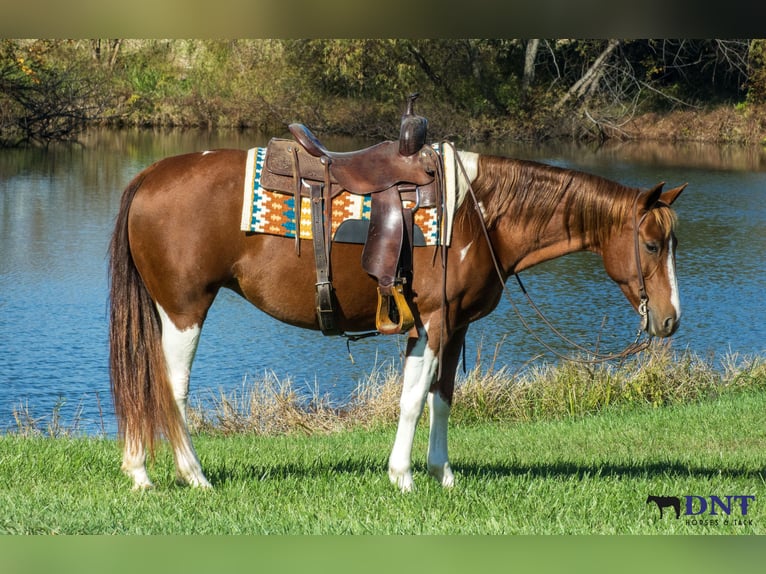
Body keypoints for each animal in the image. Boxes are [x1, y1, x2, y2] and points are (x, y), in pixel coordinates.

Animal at [109, 145, 685, 492]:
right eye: (652, 245)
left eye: (673, 243)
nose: (671, 321)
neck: (478, 213)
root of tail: (150, 175)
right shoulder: (432, 322)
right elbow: (411, 400)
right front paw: (403, 476)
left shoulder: (455, 326)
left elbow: (441, 399)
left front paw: (442, 474)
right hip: (184, 309)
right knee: (170, 389)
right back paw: (190, 475)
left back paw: (139, 472)